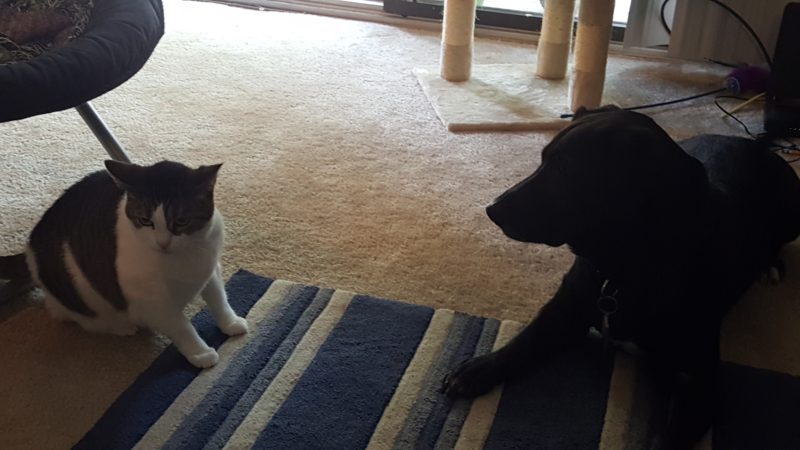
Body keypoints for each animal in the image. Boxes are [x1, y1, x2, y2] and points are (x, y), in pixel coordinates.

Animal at [0, 160, 248, 368]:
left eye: (181, 221)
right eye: (145, 221)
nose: (163, 242)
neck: (185, 258)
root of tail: (30, 246)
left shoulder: (211, 269)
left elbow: (219, 299)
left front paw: (231, 323)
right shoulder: (154, 301)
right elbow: (182, 327)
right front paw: (201, 353)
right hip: (79, 290)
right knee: (76, 316)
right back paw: (121, 326)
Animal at [440, 107, 800, 448]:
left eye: (566, 171)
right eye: (542, 160)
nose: (492, 209)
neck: (622, 269)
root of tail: (753, 143)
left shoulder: (701, 385)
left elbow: (665, 440)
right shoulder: (565, 311)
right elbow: (523, 341)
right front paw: (479, 368)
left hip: (791, 213)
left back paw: (770, 264)